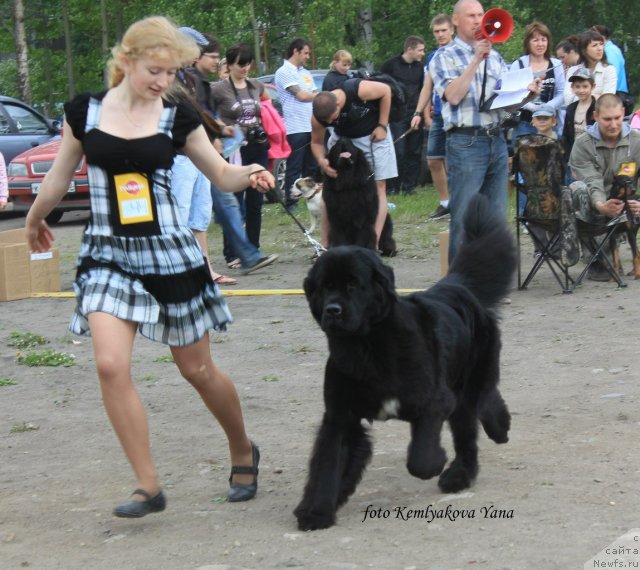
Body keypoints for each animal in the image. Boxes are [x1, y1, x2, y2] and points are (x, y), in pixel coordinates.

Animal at [296, 194, 520, 528]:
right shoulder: (340, 415)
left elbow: (420, 459)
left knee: (479, 410)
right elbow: (327, 463)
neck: (368, 347)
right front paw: (316, 511)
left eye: (353, 284)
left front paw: (436, 462)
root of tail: (455, 285)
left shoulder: (433, 400)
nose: (332, 311)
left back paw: (484, 444)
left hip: (467, 385)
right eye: (323, 286)